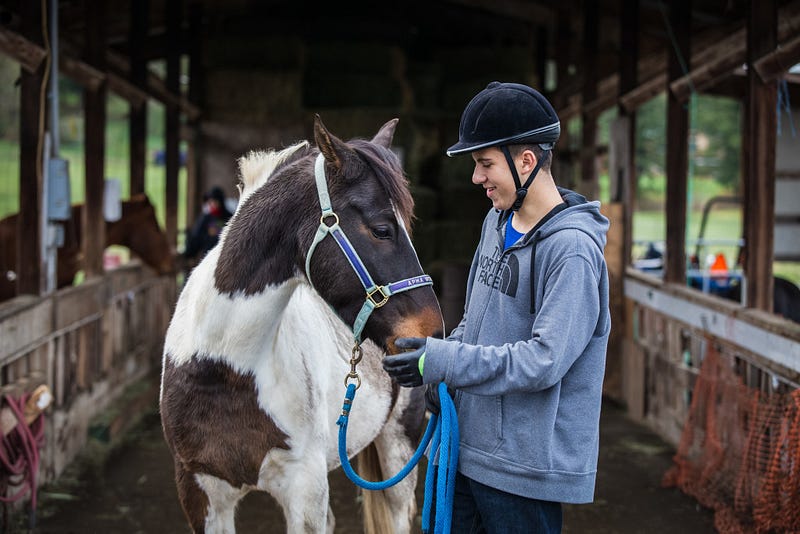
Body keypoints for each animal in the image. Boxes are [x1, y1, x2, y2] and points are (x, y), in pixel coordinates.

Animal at [156, 115, 444, 532]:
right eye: (381, 229)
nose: (431, 335)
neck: (226, 369)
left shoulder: (304, 490)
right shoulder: (200, 494)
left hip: (398, 449)